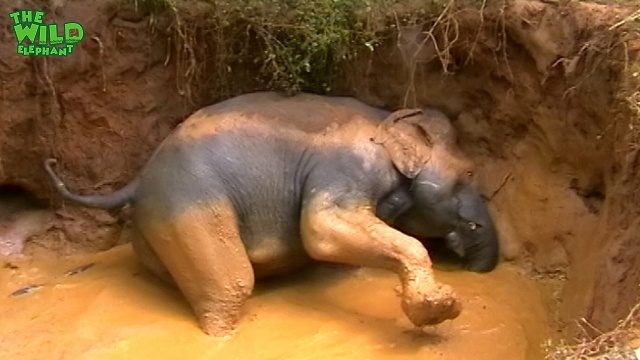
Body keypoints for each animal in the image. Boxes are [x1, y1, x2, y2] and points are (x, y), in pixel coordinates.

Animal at [43, 91, 500, 336]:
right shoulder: (344, 167)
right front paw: (441, 307)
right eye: (470, 172)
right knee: (232, 285)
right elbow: (319, 228)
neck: (387, 117)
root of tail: (138, 179)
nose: (475, 264)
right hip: (187, 201)